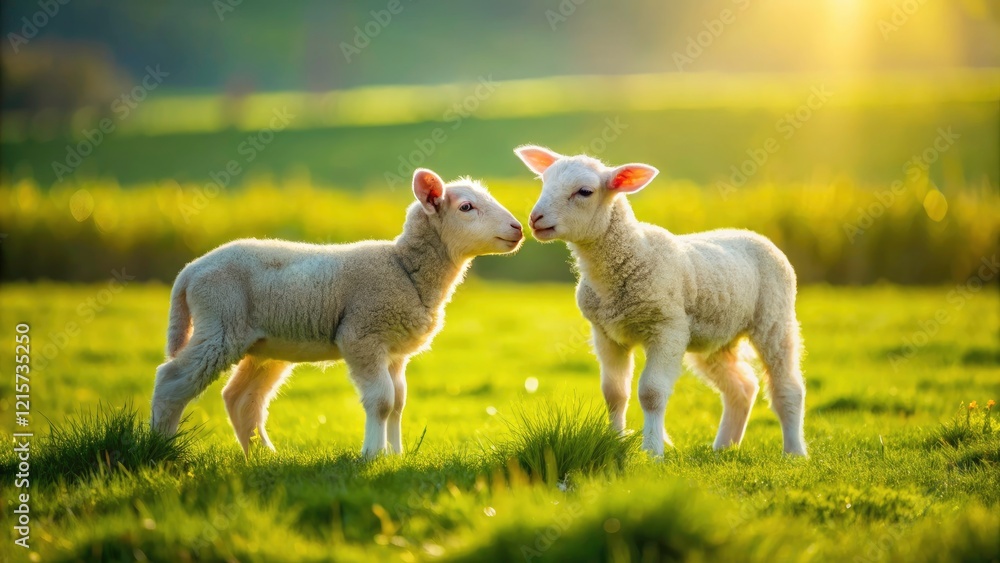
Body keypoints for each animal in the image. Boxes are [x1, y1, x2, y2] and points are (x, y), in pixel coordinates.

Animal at [150, 168, 524, 457]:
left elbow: (398, 403)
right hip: (220, 324)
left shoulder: (395, 352)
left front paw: (396, 454)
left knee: (241, 400)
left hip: (263, 346)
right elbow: (382, 401)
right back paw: (161, 447)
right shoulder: (362, 336)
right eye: (466, 207)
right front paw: (373, 454)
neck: (404, 268)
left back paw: (265, 457)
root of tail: (190, 271)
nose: (518, 228)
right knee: (171, 381)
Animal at [514, 145, 807, 457]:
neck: (633, 255)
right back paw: (723, 448)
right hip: (714, 338)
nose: (535, 219)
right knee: (742, 387)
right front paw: (615, 441)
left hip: (774, 318)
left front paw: (653, 451)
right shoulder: (606, 333)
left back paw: (794, 452)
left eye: (584, 191)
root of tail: (752, 234)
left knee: (788, 386)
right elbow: (614, 393)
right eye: (544, 182)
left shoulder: (667, 328)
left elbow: (651, 393)